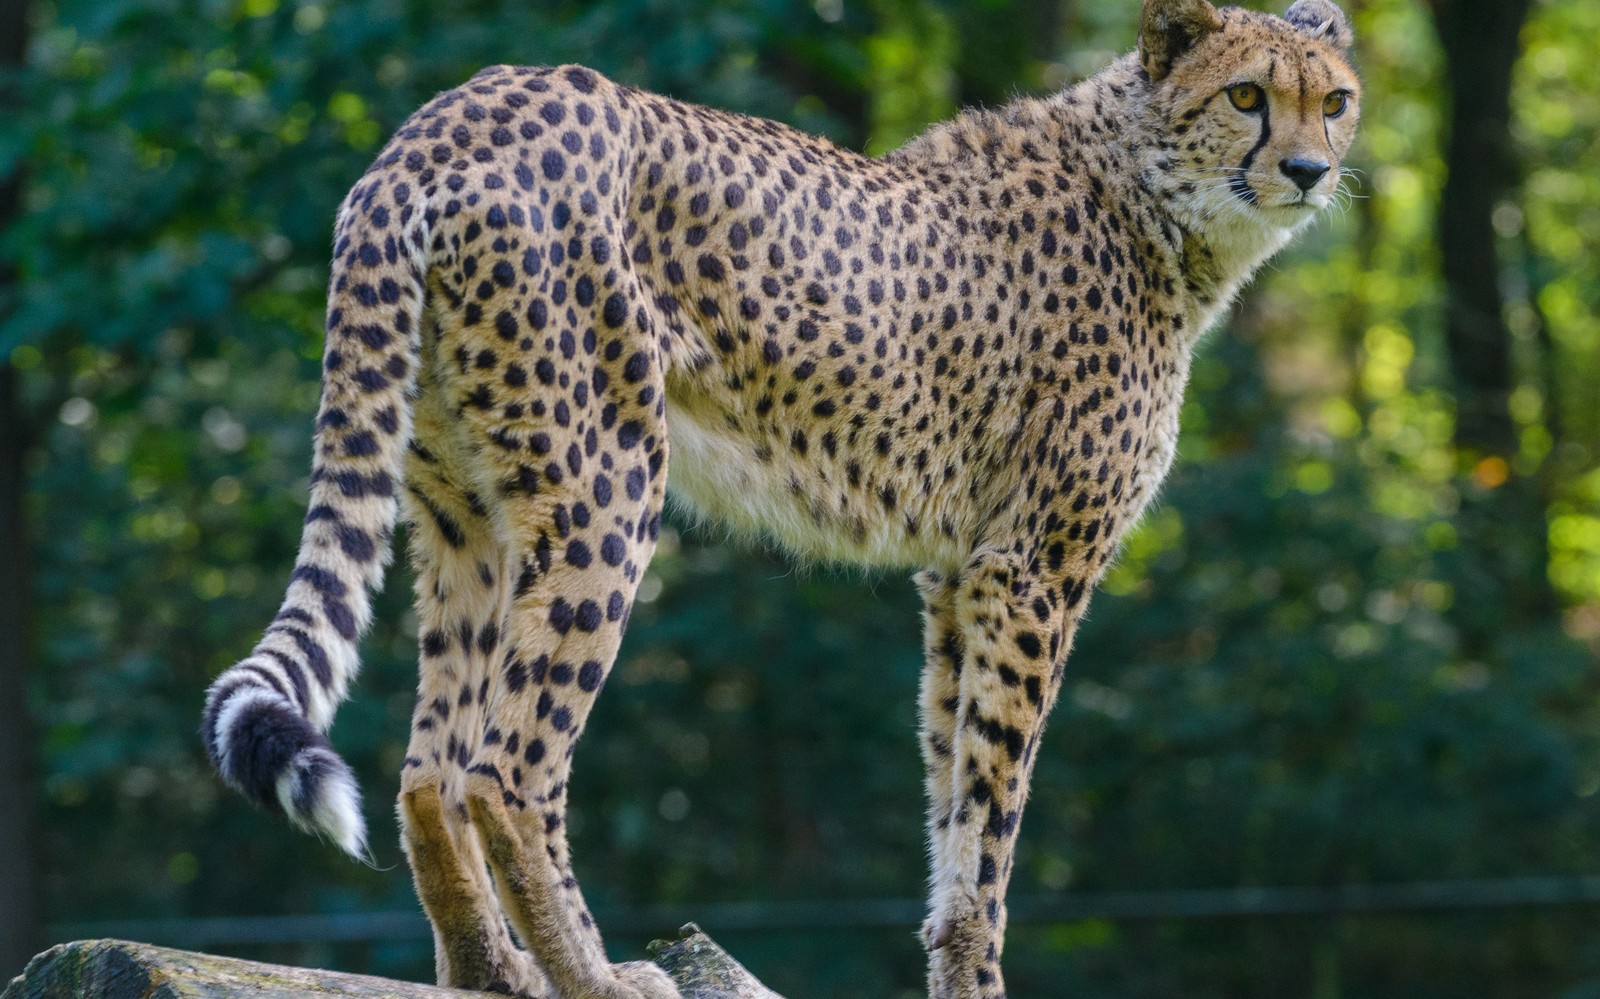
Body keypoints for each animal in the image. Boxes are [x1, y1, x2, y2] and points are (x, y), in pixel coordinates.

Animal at [196, 0, 1350, 992]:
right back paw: (599, 977)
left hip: (466, 511)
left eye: (1334, 99)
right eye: (1247, 94)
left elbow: (950, 792)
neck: (1151, 192)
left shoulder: (958, 573)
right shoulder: (1032, 570)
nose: (1309, 170)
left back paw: (494, 973)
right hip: (610, 481)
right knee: (504, 773)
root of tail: (447, 117)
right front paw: (979, 971)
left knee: (427, 775)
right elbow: (993, 820)